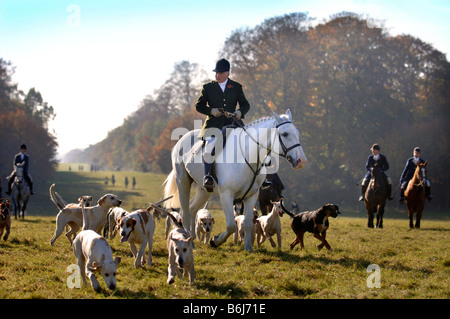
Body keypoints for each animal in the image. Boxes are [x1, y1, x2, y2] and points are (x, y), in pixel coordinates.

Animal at [163, 110, 308, 252]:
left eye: (298, 133)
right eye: (285, 134)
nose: (302, 161)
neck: (247, 157)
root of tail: (182, 139)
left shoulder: (252, 196)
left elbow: (248, 224)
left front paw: (248, 248)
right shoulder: (226, 195)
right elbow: (231, 226)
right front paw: (215, 241)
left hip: (205, 190)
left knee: (192, 208)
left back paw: (191, 240)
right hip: (183, 182)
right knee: (185, 212)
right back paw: (189, 241)